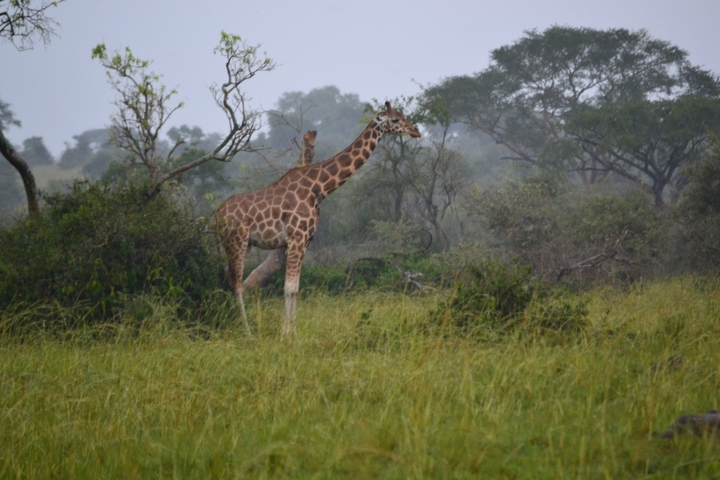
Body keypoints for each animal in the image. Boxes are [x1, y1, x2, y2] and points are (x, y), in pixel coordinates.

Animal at [216, 102, 421, 335]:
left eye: (402, 115)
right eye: (395, 120)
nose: (416, 131)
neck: (319, 188)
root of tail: (215, 216)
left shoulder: (305, 241)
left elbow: (295, 288)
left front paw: (293, 332)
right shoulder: (296, 237)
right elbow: (289, 288)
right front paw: (286, 334)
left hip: (242, 244)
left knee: (231, 279)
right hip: (236, 241)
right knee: (235, 283)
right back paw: (247, 332)